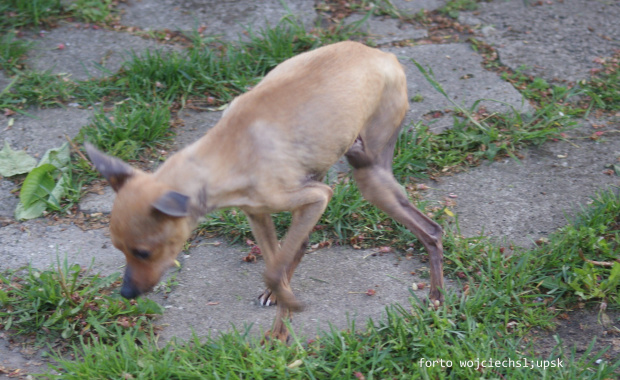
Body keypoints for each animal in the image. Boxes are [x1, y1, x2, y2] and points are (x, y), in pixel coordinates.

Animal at [87, 40, 446, 342]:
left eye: (143, 252)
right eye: (120, 249)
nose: (126, 294)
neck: (230, 151)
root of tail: (382, 54)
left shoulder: (317, 197)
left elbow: (273, 271)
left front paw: (283, 323)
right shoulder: (258, 214)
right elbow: (277, 265)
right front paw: (282, 322)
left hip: (368, 173)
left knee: (432, 230)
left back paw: (437, 297)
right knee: (306, 244)